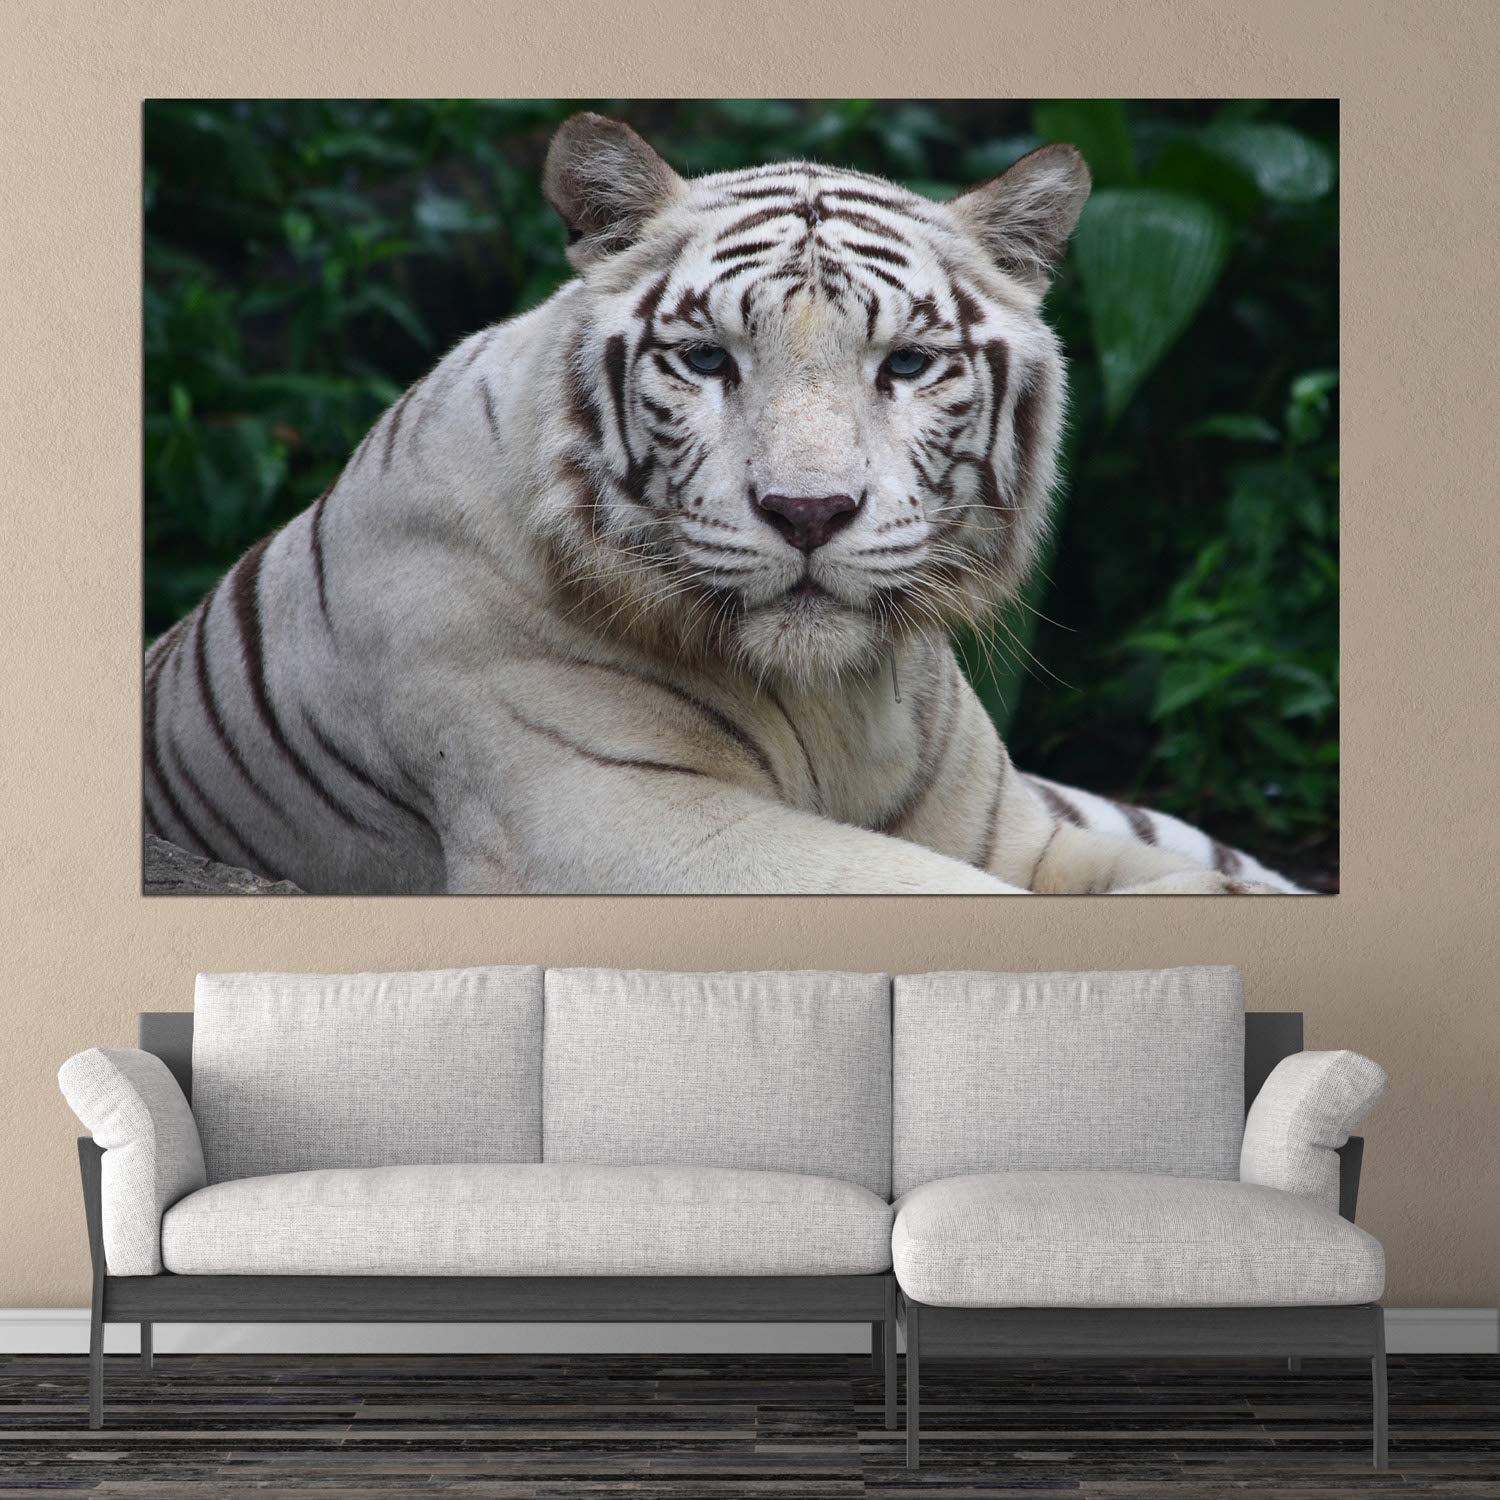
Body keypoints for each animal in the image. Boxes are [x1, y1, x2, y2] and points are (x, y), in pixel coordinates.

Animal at [142, 112, 1307, 896]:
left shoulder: (1014, 829)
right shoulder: (618, 820)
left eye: (908, 363)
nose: (809, 512)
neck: (838, 700)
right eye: (707, 360)